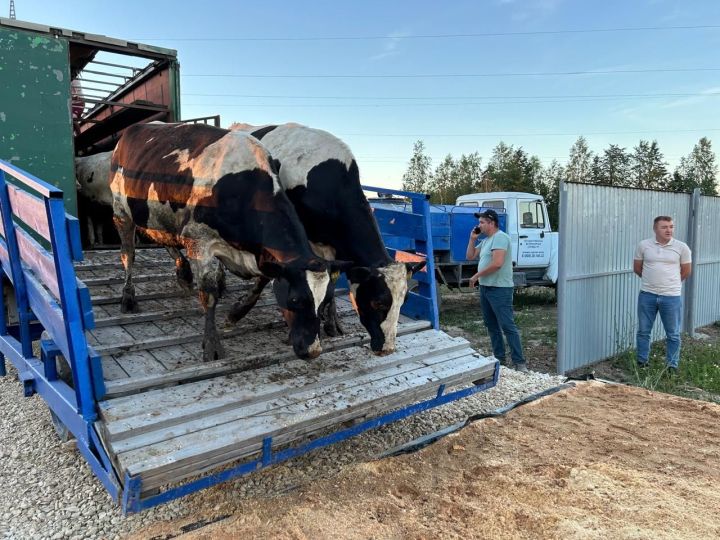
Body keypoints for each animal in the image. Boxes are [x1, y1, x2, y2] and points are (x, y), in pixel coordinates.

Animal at [109, 122, 338, 362]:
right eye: (295, 300)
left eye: (324, 302)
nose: (313, 350)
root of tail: (131, 130)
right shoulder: (199, 241)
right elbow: (209, 294)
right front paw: (212, 345)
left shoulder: (259, 256)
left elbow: (262, 281)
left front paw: (236, 313)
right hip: (121, 212)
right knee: (128, 254)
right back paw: (128, 297)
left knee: (163, 238)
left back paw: (184, 273)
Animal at [228, 124, 424, 356]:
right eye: (378, 302)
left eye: (404, 300)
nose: (388, 348)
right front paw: (239, 311)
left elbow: (330, 281)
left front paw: (331, 322)